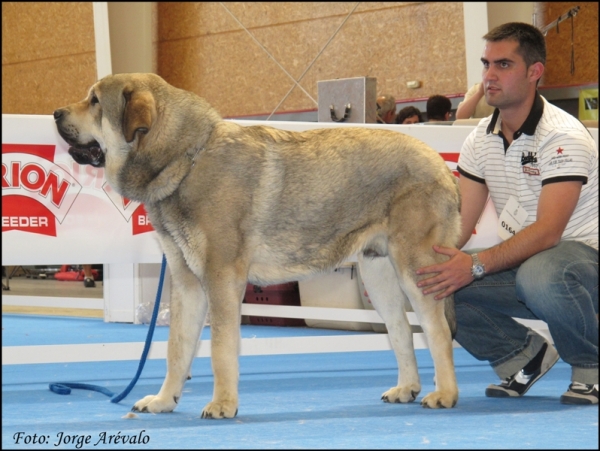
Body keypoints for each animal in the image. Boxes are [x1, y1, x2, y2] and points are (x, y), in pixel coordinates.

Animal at [55, 73, 460, 416]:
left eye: (94, 101)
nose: (57, 112)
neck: (186, 159)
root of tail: (440, 164)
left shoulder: (221, 279)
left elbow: (220, 348)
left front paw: (222, 404)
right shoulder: (187, 283)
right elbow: (177, 348)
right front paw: (164, 400)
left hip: (416, 270)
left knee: (438, 331)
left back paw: (444, 393)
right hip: (378, 275)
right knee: (401, 330)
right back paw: (406, 388)